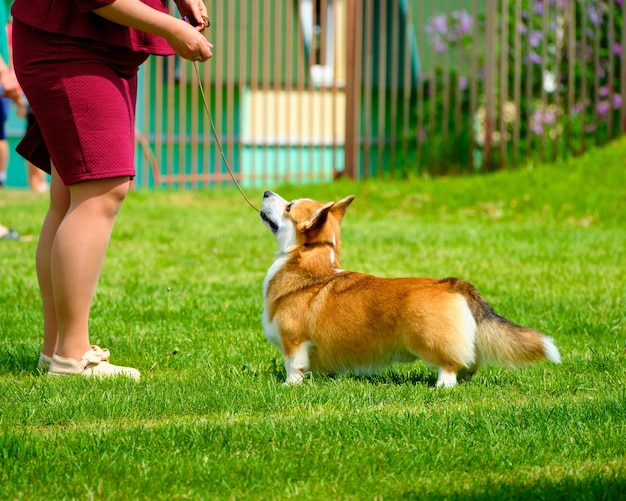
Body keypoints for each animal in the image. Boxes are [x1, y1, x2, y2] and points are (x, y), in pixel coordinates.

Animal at [256, 191, 560, 386]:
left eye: (289, 207)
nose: (266, 191)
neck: (310, 264)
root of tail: (452, 283)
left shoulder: (294, 340)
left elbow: (293, 366)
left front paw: (288, 386)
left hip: (428, 341)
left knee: (449, 365)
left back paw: (442, 387)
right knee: (471, 363)